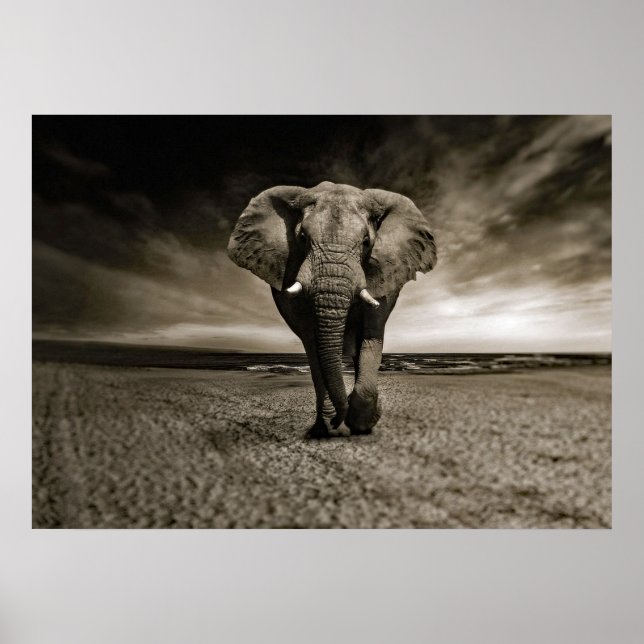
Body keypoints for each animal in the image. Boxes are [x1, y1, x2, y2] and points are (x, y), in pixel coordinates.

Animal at [227, 181, 436, 437]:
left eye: (366, 242)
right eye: (302, 238)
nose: (339, 420)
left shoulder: (384, 273)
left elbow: (371, 334)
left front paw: (362, 423)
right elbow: (312, 341)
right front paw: (330, 426)